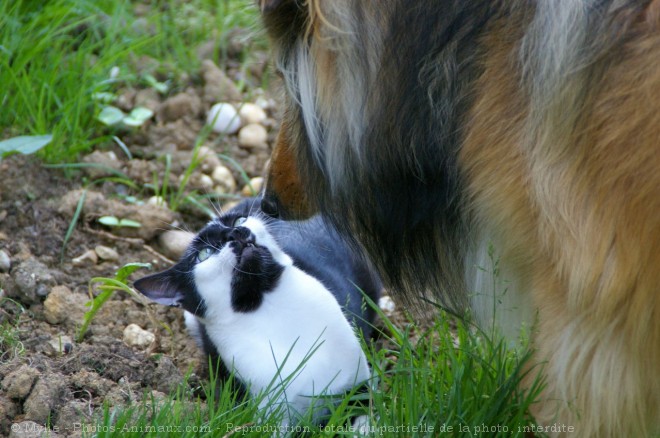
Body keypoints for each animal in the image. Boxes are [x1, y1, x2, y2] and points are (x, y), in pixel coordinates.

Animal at [133, 198, 382, 428]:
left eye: (238, 221)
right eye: (204, 253)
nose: (235, 232)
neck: (269, 309)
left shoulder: (360, 383)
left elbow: (366, 414)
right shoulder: (270, 415)